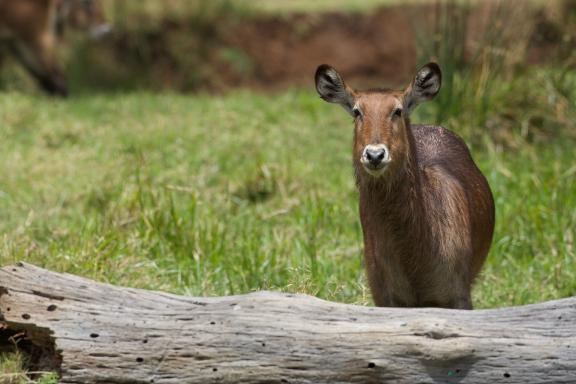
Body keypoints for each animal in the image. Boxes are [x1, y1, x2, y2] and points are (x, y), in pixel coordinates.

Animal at [316, 63, 496, 308]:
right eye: (357, 111)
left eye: (397, 110)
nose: (375, 154)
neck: (415, 262)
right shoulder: (386, 297)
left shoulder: (458, 295)